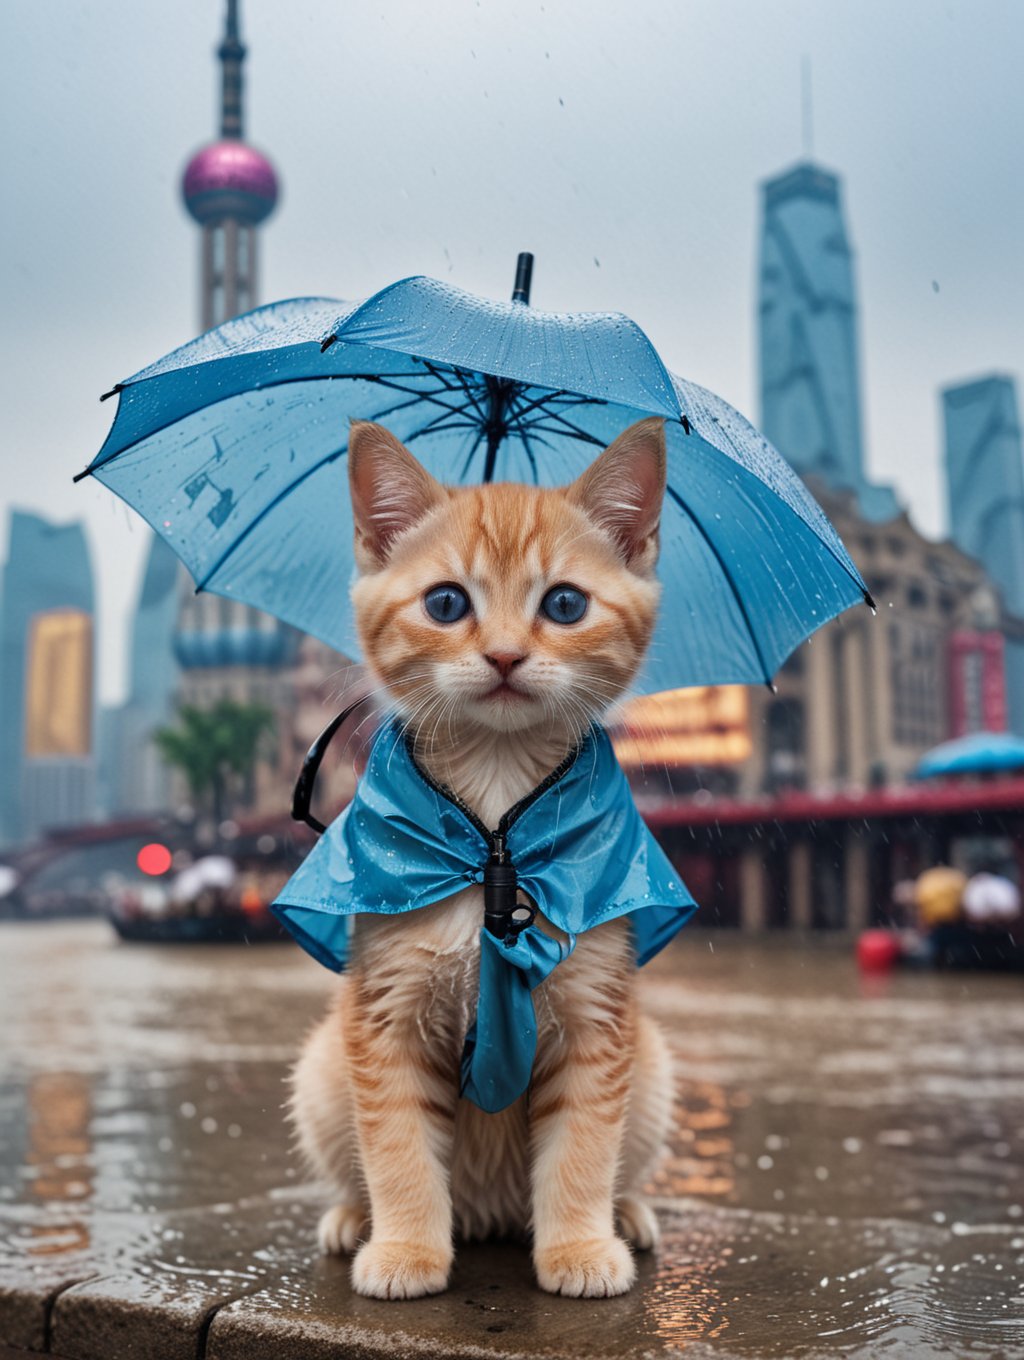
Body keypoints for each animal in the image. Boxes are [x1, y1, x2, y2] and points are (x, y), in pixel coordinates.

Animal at [288, 416, 674, 1294]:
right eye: (446, 603)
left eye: (564, 604)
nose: (503, 656)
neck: (491, 830)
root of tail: (492, 1215)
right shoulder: (384, 1018)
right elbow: (396, 1148)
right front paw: (405, 1250)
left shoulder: (597, 1019)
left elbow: (583, 1149)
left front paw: (578, 1247)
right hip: (322, 1069)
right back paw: (352, 1218)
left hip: (654, 1066)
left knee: (623, 1159)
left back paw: (628, 1214)